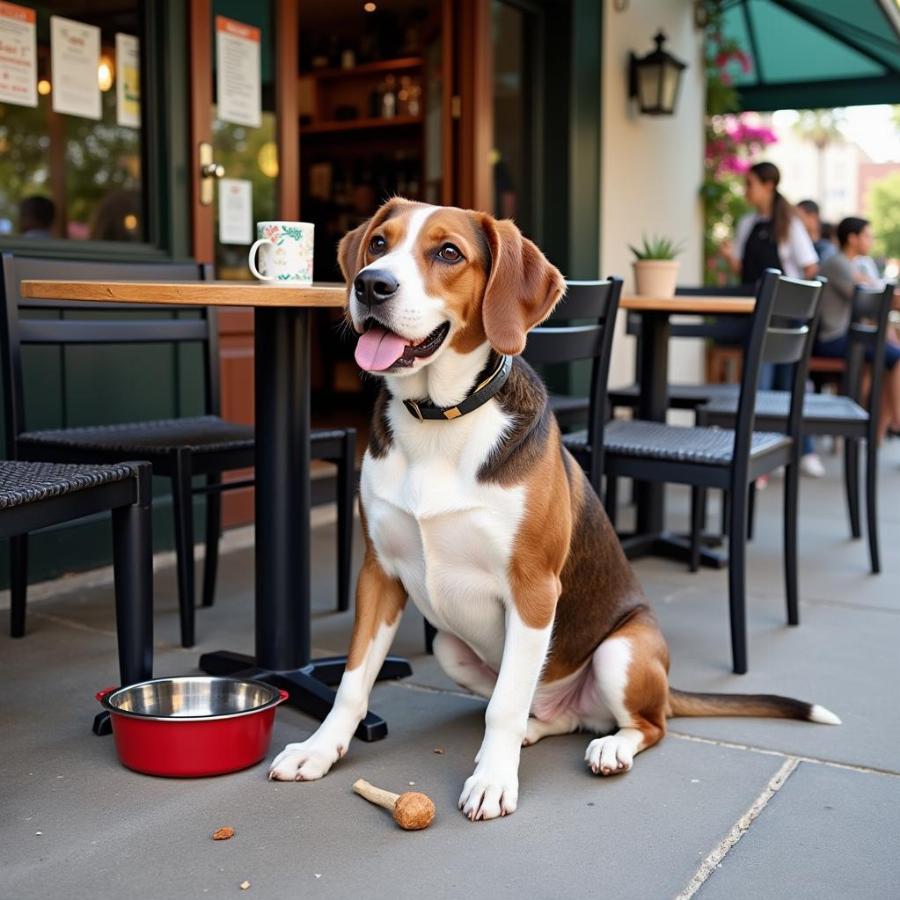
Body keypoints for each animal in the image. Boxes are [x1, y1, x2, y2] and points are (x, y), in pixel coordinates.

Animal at [266, 200, 836, 820]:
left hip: (621, 652)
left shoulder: (534, 587)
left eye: (448, 253)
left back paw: (609, 746)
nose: (371, 285)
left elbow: (502, 707)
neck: (440, 419)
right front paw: (319, 750)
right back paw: (539, 729)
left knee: (645, 724)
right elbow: (352, 685)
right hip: (449, 646)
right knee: (549, 712)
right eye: (377, 243)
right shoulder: (379, 574)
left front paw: (493, 780)